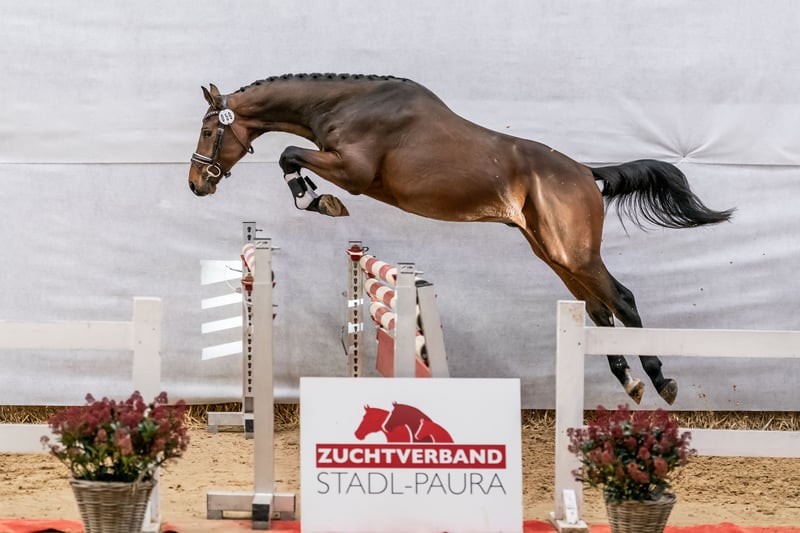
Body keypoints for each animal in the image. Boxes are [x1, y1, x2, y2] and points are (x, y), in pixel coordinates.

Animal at [188, 73, 734, 404]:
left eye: (208, 131)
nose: (197, 184)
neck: (347, 105)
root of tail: (585, 171)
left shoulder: (353, 171)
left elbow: (290, 157)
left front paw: (318, 201)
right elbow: (291, 157)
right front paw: (317, 200)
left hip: (572, 251)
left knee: (622, 299)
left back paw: (661, 381)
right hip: (551, 253)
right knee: (598, 310)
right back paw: (630, 382)